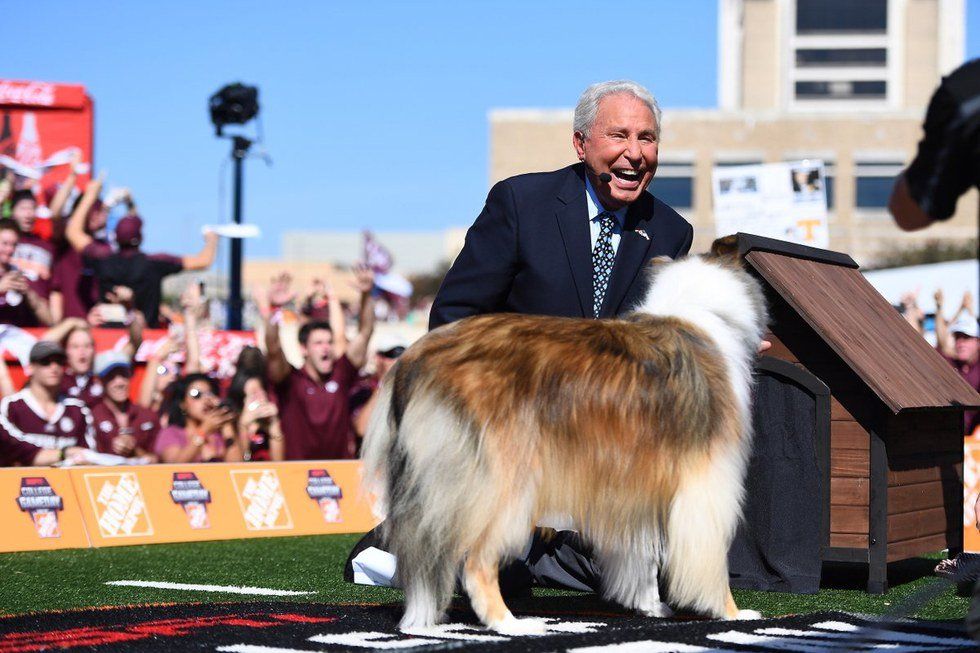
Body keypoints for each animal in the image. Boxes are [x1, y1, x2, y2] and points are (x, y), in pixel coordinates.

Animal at [360, 237, 764, 636]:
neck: (701, 313)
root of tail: (416, 359)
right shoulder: (706, 484)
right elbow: (711, 561)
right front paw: (732, 612)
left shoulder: (634, 483)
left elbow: (643, 556)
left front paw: (650, 606)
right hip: (504, 485)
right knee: (474, 562)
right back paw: (511, 623)